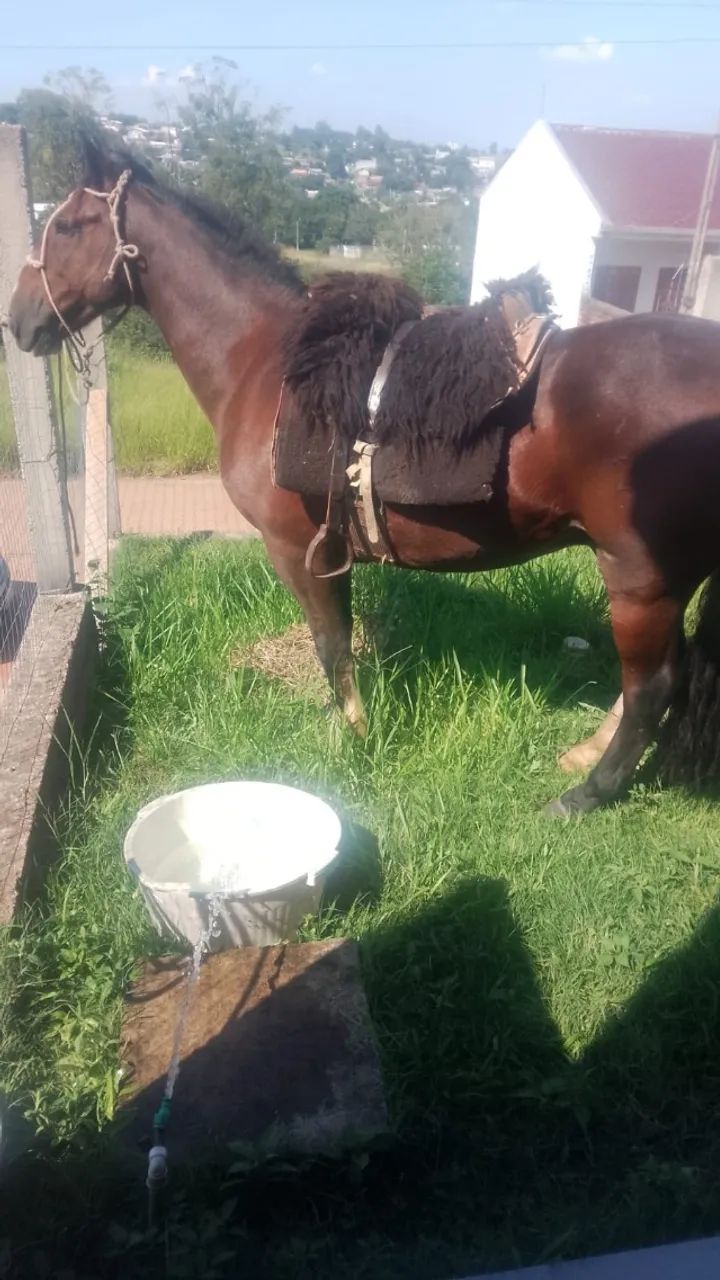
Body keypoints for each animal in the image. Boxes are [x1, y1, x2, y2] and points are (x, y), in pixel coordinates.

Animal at [8, 134, 720, 816]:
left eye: (68, 225)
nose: (18, 320)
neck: (265, 360)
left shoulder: (298, 549)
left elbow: (332, 646)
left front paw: (351, 736)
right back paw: (586, 755)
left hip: (638, 576)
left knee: (653, 684)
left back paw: (588, 793)